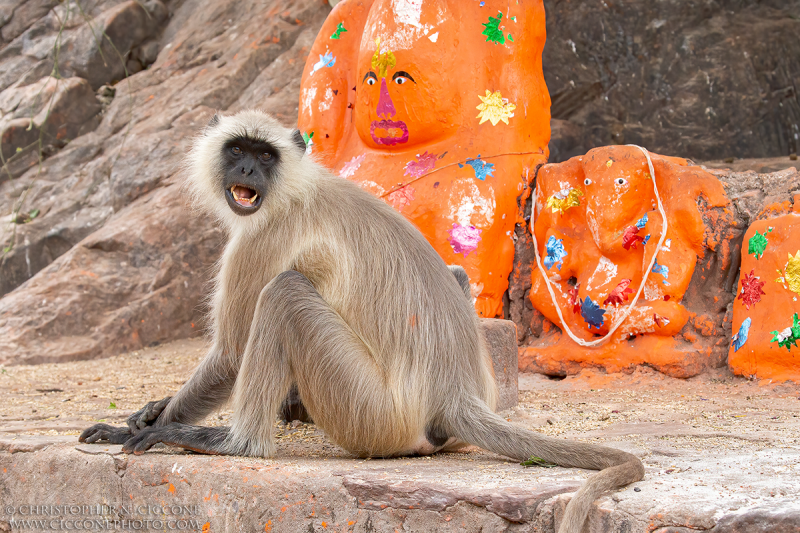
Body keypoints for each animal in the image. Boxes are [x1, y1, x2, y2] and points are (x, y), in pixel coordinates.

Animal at [81, 109, 644, 532]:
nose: (247, 175)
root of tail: (455, 391)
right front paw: (149, 411)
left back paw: (234, 442)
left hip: (371, 413)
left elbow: (228, 356)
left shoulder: (263, 235)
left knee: (283, 293)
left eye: (265, 156)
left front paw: (153, 424)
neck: (296, 187)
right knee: (455, 273)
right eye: (237, 151)